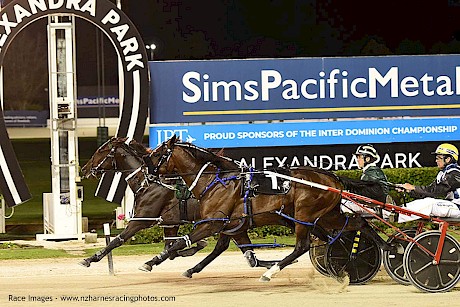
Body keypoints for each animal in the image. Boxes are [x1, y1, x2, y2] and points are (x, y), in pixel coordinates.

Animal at [78, 137, 274, 270]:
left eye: (100, 151)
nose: (84, 169)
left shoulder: (141, 220)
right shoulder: (170, 224)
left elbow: (117, 240)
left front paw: (89, 259)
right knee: (243, 253)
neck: (148, 182)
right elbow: (171, 249)